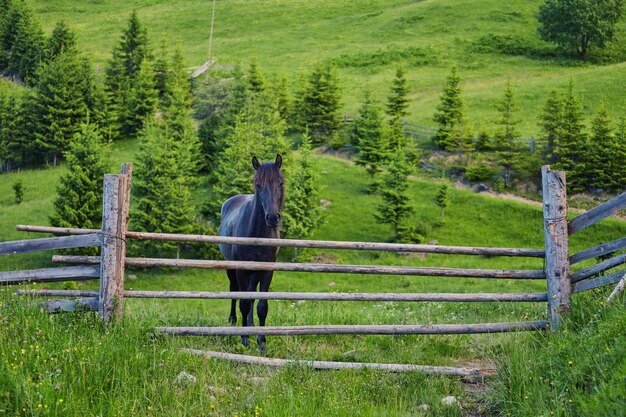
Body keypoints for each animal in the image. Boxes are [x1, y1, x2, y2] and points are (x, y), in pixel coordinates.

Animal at [216, 154, 282, 350]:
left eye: (280, 183)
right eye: (258, 185)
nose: (272, 217)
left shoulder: (267, 270)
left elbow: (261, 305)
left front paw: (262, 341)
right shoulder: (241, 270)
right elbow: (244, 302)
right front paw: (244, 339)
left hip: (255, 273)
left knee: (252, 295)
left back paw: (251, 326)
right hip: (232, 268)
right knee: (234, 291)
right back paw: (233, 320)